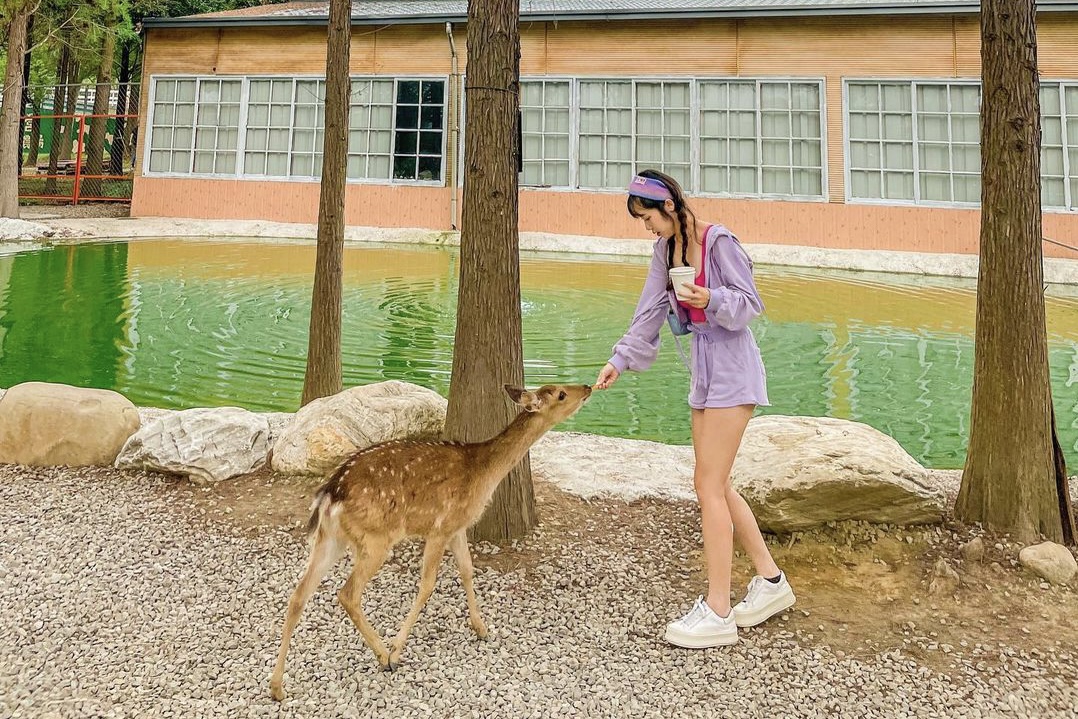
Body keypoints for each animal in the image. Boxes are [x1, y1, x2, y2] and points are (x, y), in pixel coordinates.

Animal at [268, 381, 590, 702]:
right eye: (561, 394)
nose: (587, 386)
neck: (483, 473)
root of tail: (331, 493)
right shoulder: (440, 528)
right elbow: (427, 585)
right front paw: (397, 650)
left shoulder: (458, 527)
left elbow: (467, 570)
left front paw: (481, 628)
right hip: (375, 539)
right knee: (347, 593)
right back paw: (383, 655)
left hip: (331, 538)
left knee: (299, 594)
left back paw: (277, 687)